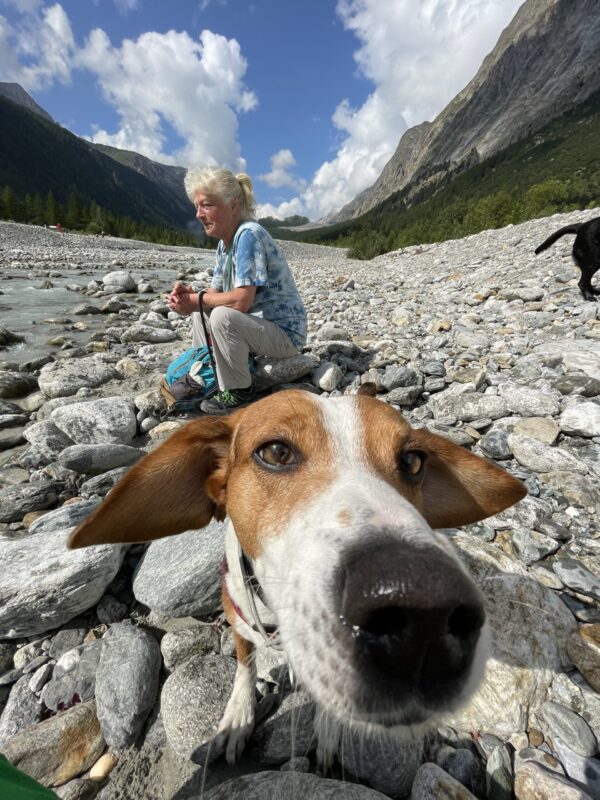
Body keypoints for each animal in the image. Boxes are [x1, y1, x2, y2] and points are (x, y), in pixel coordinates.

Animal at [69, 390, 524, 764]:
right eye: (275, 452)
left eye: (413, 461)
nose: (424, 608)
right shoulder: (236, 614)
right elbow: (244, 665)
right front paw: (238, 715)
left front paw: (327, 726)